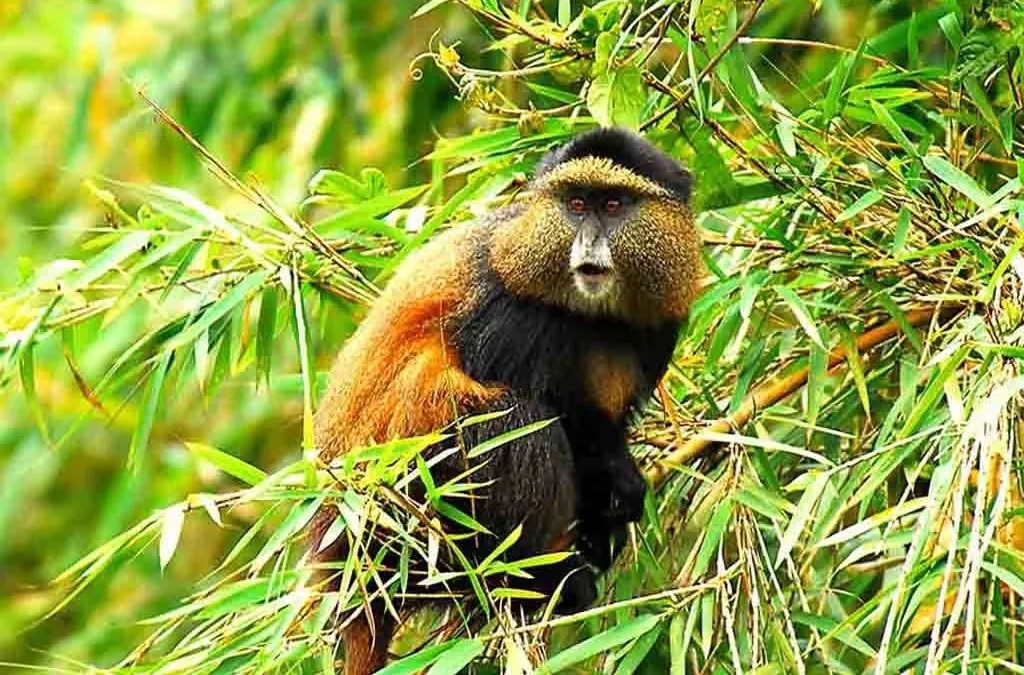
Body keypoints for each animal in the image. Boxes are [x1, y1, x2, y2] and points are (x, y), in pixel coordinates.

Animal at [310, 127, 702, 675]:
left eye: (613, 205)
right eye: (576, 204)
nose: (588, 241)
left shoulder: (661, 322)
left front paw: (607, 519)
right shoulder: (509, 312)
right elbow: (563, 418)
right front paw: (619, 488)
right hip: (406, 517)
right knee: (516, 421)